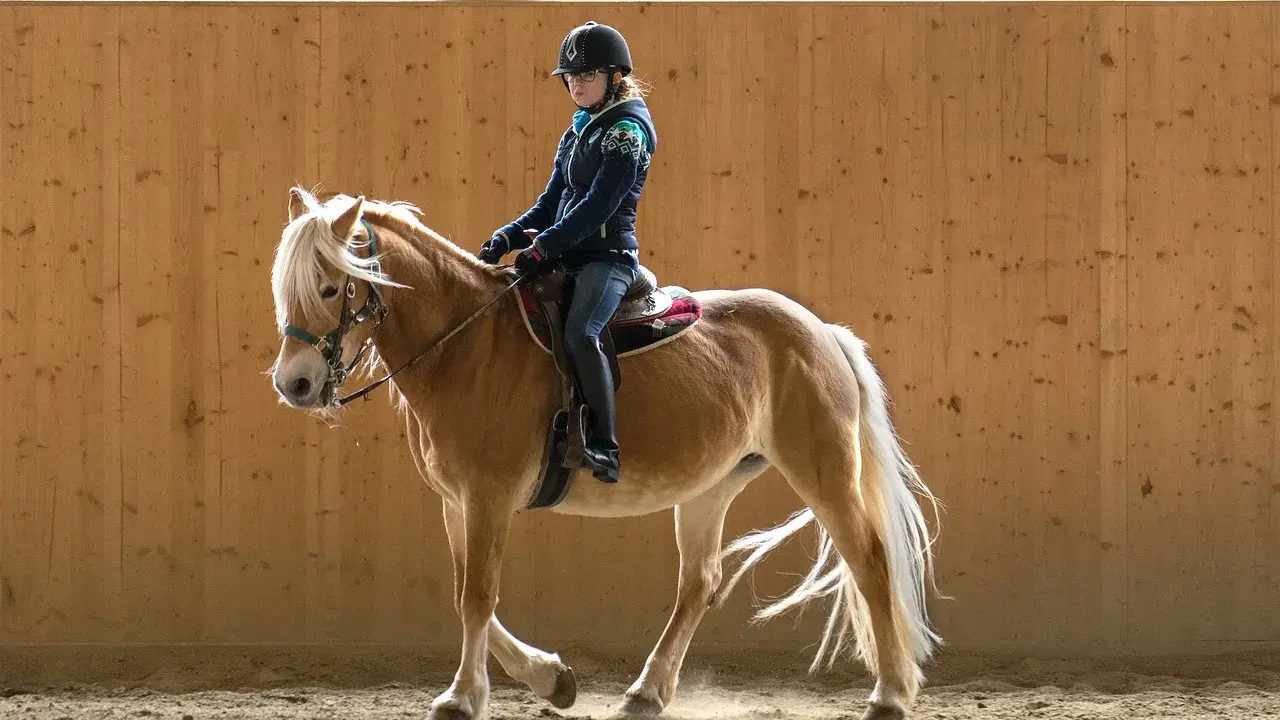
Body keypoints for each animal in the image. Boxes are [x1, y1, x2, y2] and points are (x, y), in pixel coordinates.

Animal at [268, 186, 943, 720]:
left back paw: (888, 695)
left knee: (871, 561)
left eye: (329, 287)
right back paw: (646, 692)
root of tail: (821, 331)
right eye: (285, 289)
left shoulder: (487, 497)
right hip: (711, 488)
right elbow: (467, 593)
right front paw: (552, 679)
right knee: (699, 583)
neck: (468, 345)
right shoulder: (456, 502)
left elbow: (478, 596)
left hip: (824, 472)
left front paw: (461, 698)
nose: (294, 384)